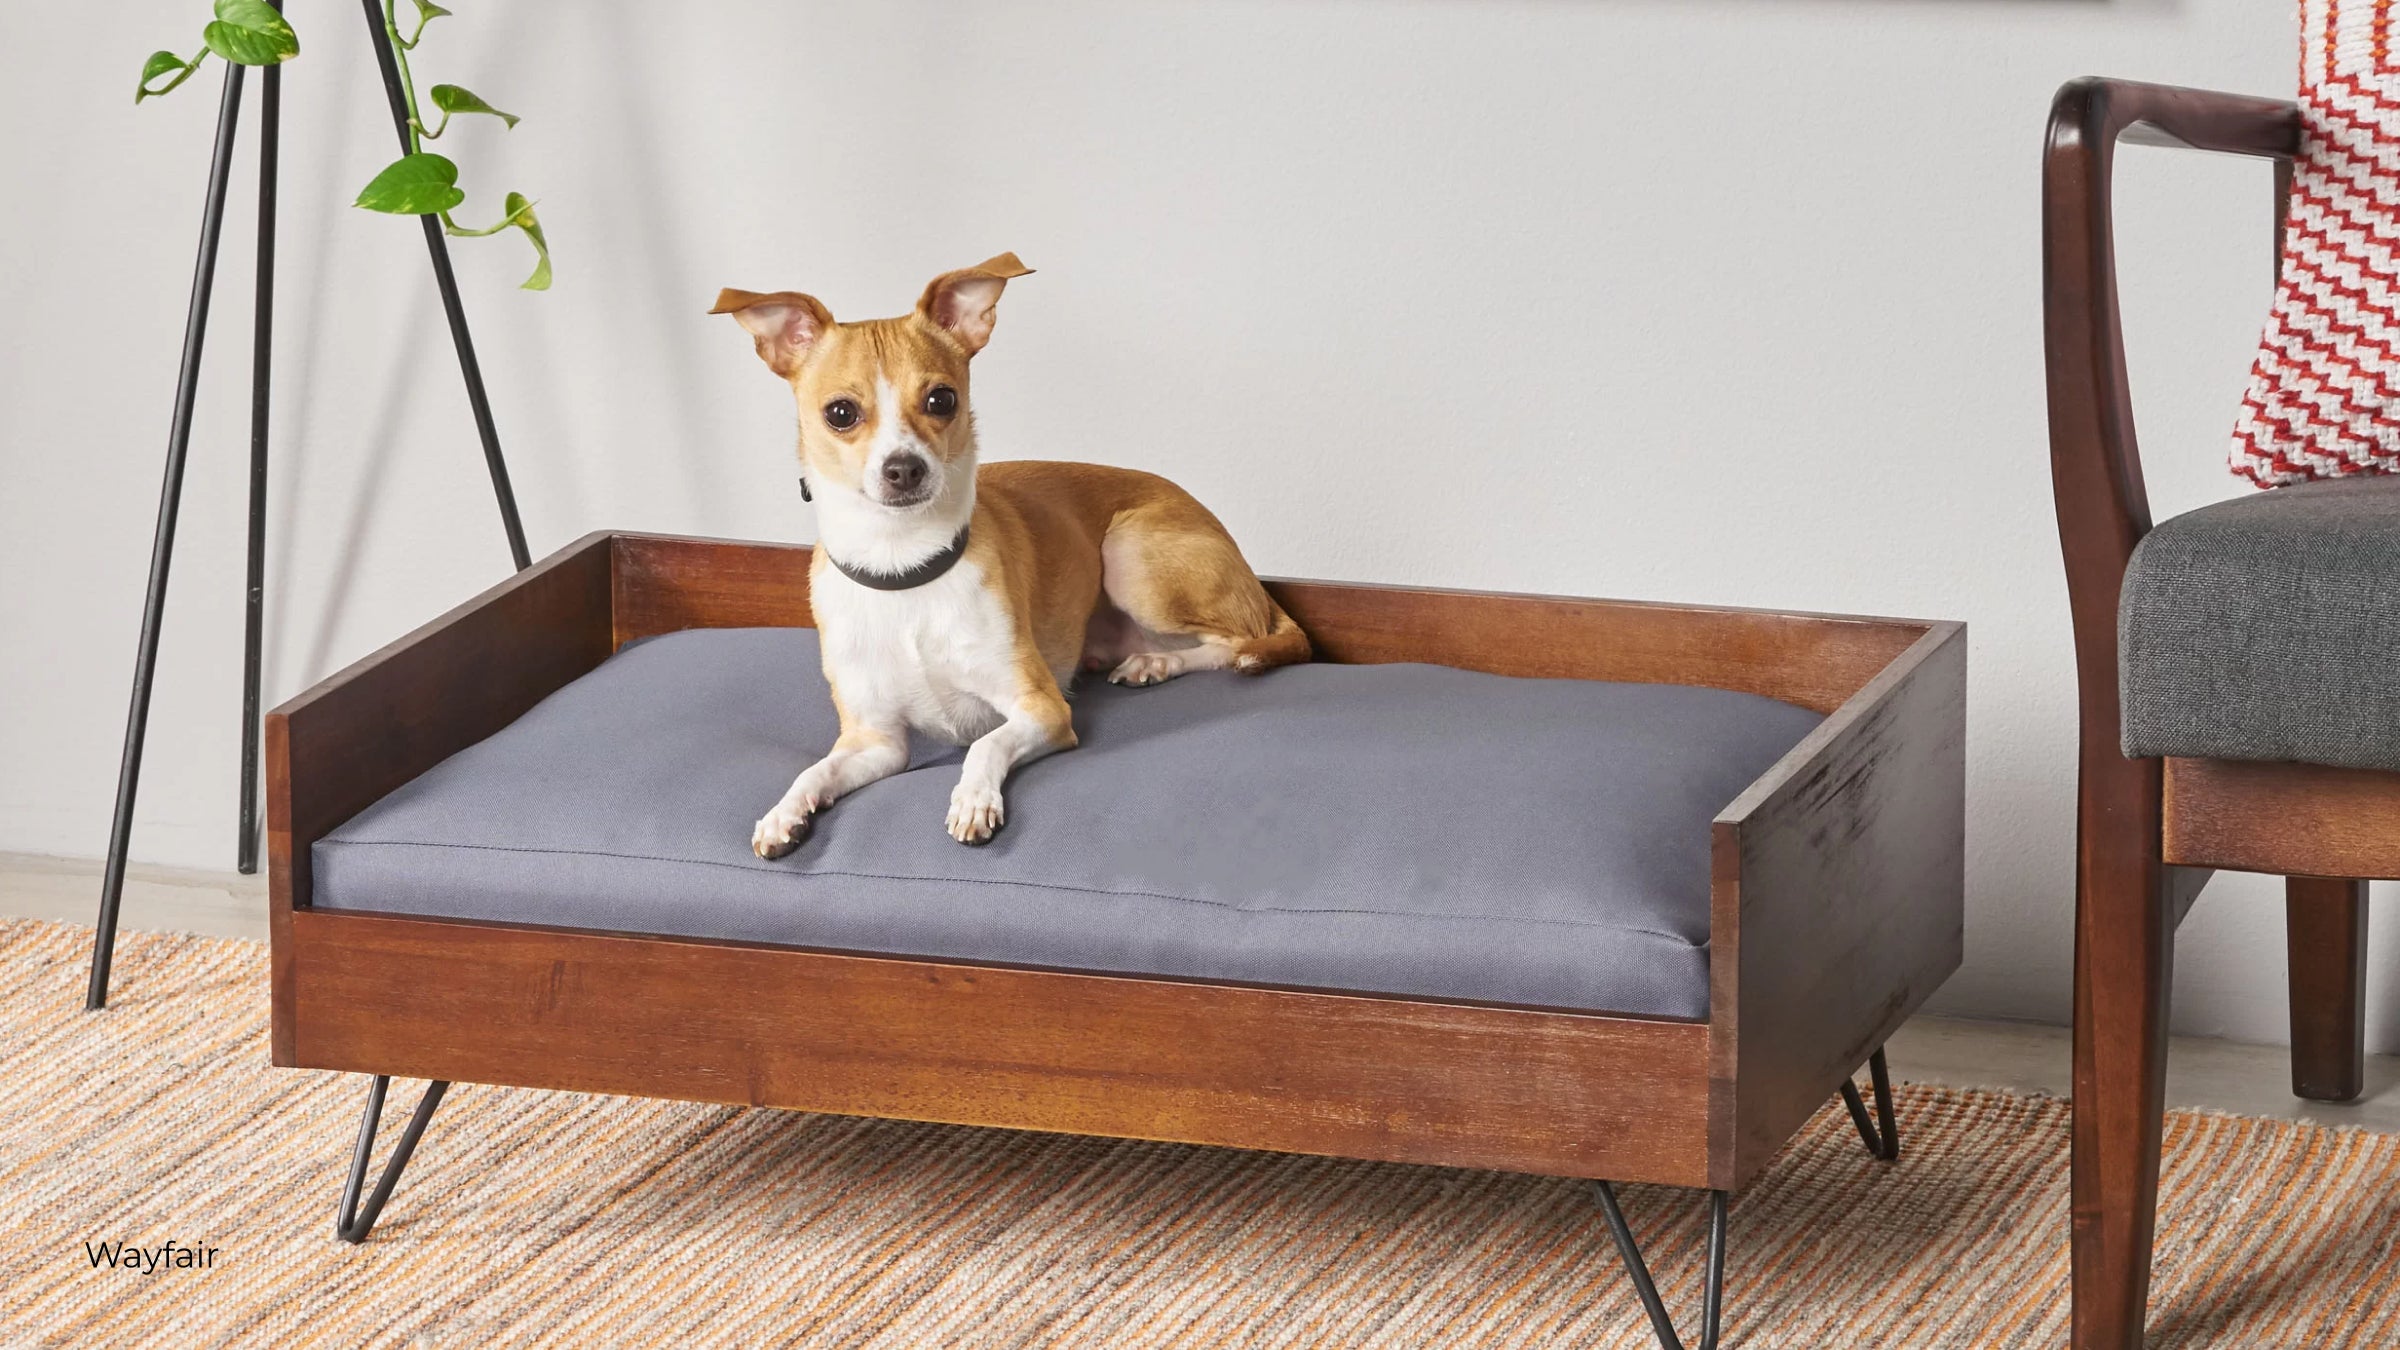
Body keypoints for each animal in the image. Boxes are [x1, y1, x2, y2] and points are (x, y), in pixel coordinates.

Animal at [710, 252, 1315, 850]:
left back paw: (1158, 661)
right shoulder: (876, 741)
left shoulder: (1043, 708)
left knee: (1235, 643)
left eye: (941, 399)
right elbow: (815, 769)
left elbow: (985, 743)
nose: (904, 468)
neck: (906, 569)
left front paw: (974, 799)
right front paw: (784, 813)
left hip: (1129, 556)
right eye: (840, 413)